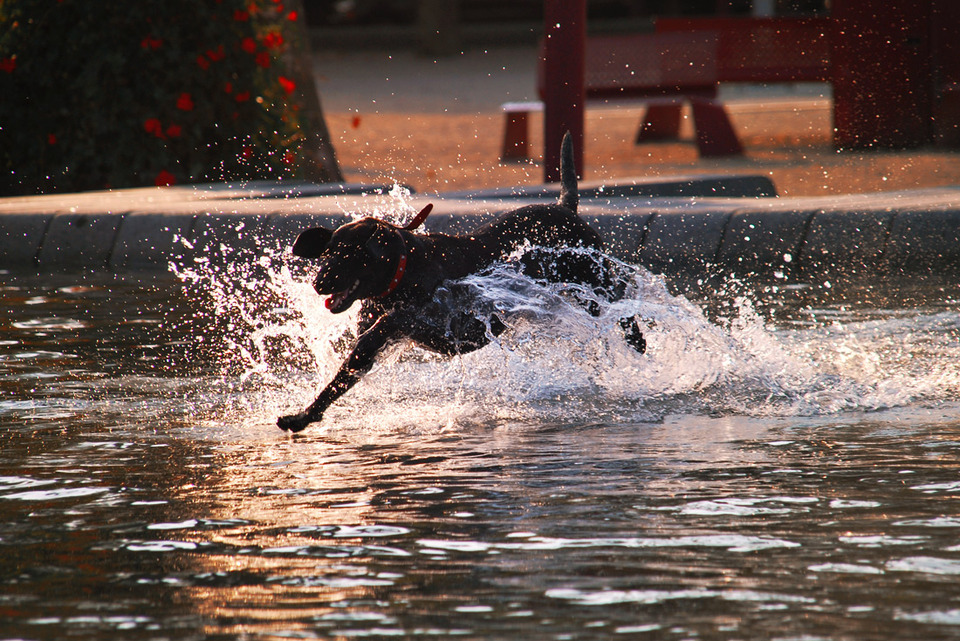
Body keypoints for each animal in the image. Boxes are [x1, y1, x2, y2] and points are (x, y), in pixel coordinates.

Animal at [280, 136, 644, 436]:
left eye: (349, 254)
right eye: (327, 253)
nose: (318, 283)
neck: (404, 269)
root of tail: (566, 208)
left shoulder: (399, 325)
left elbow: (354, 358)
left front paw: (302, 416)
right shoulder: (380, 339)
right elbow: (344, 377)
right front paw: (304, 416)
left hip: (597, 287)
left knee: (624, 312)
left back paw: (638, 344)